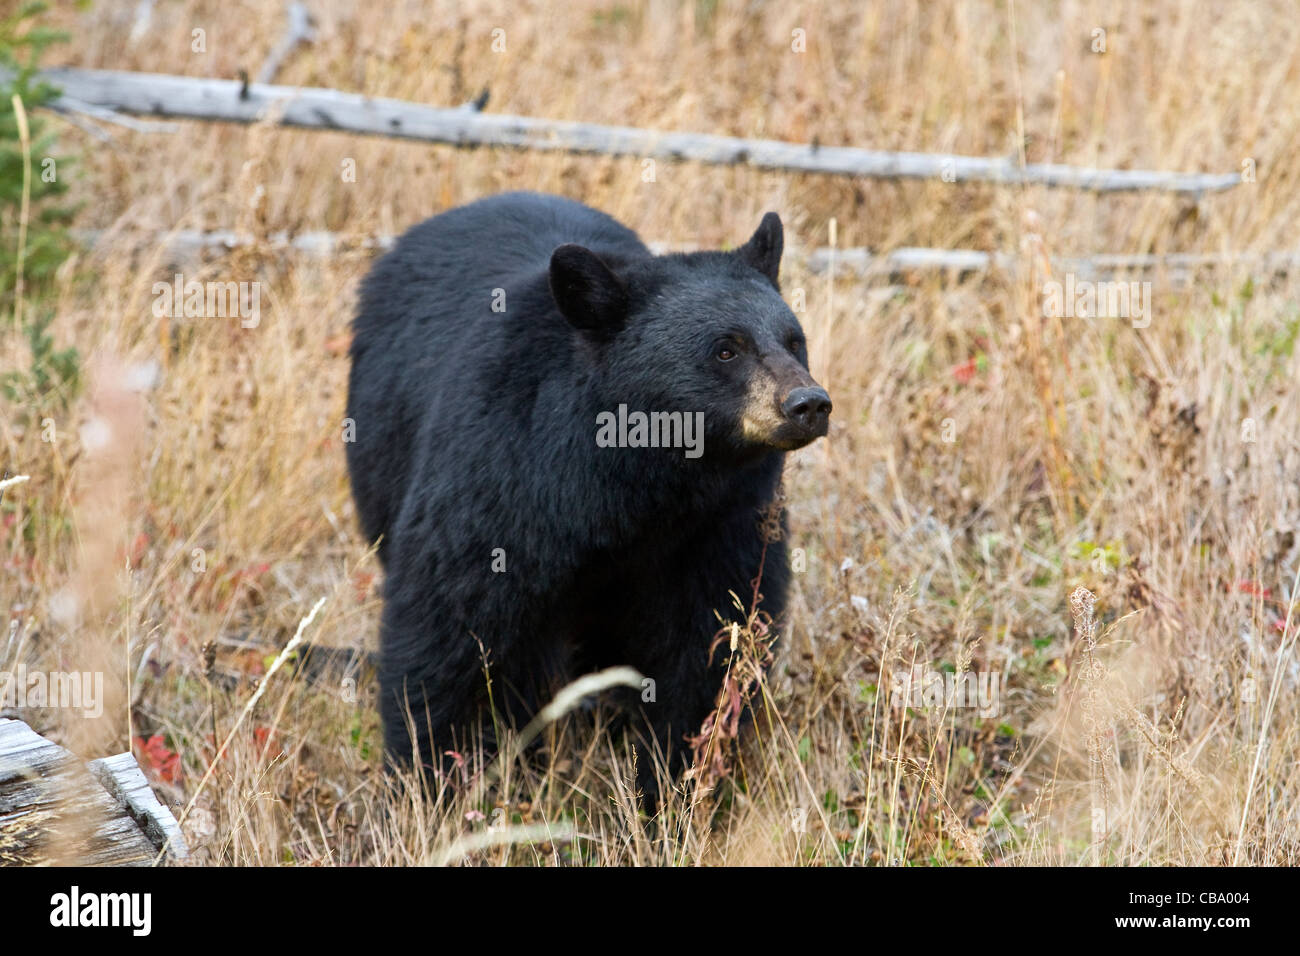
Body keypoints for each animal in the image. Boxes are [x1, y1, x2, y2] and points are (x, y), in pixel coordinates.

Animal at [345, 191, 826, 796]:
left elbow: (711, 637)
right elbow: (451, 624)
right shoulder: (500, 479)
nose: (809, 404)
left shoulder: (721, 520)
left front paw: (669, 781)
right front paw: (432, 781)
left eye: (794, 341)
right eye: (725, 350)